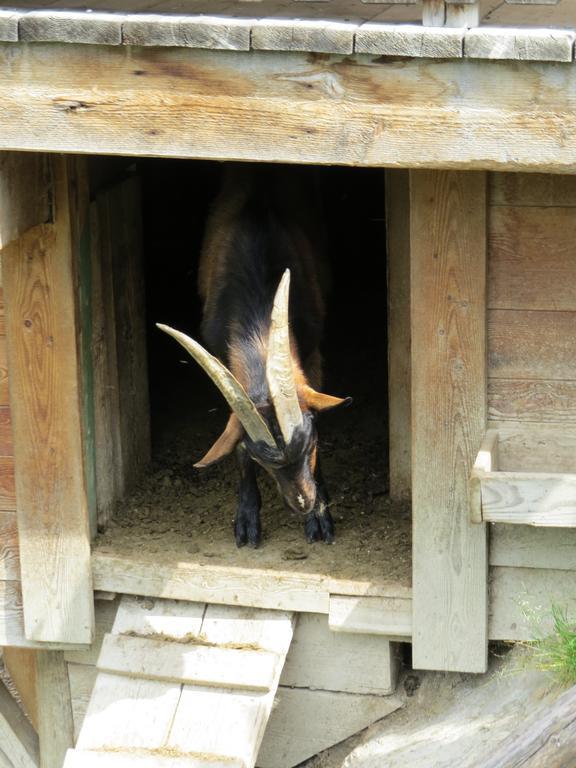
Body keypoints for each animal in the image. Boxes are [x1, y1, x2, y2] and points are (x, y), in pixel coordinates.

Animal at [155, 168, 348, 548]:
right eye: (264, 460)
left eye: (310, 442)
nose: (303, 503)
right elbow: (237, 445)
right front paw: (246, 520)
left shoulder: (311, 351)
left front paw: (320, 518)